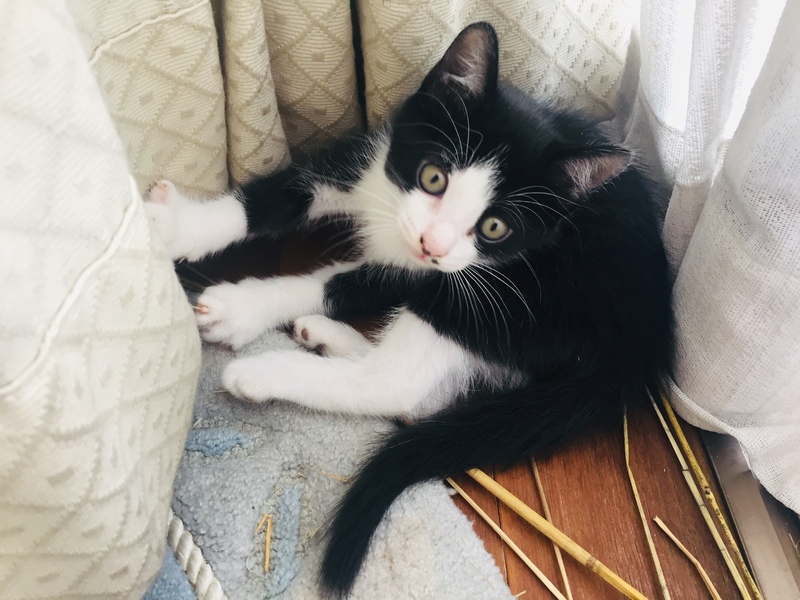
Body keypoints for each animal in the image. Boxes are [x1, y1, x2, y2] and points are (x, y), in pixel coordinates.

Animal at [145, 22, 673, 598]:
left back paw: (267, 371)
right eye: (434, 177)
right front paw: (179, 228)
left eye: (495, 227)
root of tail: (644, 347)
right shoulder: (377, 154)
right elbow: (279, 192)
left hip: (519, 295)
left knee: (395, 384)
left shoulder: (449, 271)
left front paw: (243, 307)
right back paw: (328, 338)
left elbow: (346, 282)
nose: (433, 243)